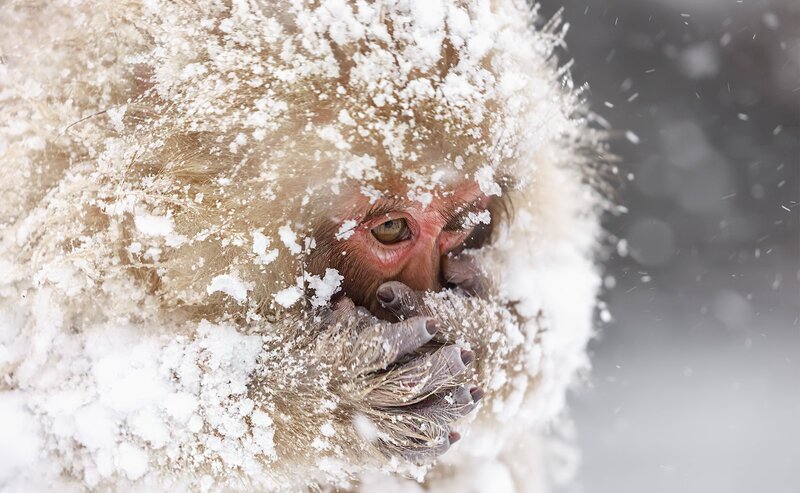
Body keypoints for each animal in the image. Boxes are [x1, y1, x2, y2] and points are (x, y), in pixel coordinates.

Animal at [0, 0, 607, 491]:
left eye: (460, 225)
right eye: (392, 229)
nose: (424, 286)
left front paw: (482, 332)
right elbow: (75, 431)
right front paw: (335, 389)